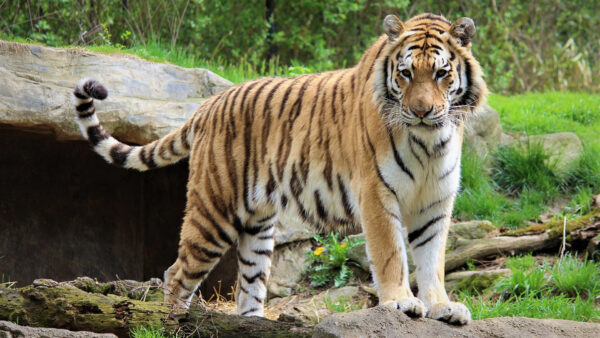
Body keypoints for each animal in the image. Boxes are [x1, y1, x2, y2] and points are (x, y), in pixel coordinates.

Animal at [72, 13, 488, 324]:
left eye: (440, 74)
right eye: (406, 73)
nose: (421, 111)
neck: (430, 141)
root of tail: (208, 104)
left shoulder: (435, 200)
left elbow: (432, 259)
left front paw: (442, 306)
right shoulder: (377, 193)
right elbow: (391, 255)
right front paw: (401, 301)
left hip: (257, 224)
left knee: (247, 288)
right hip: (214, 211)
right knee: (175, 274)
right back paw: (169, 321)